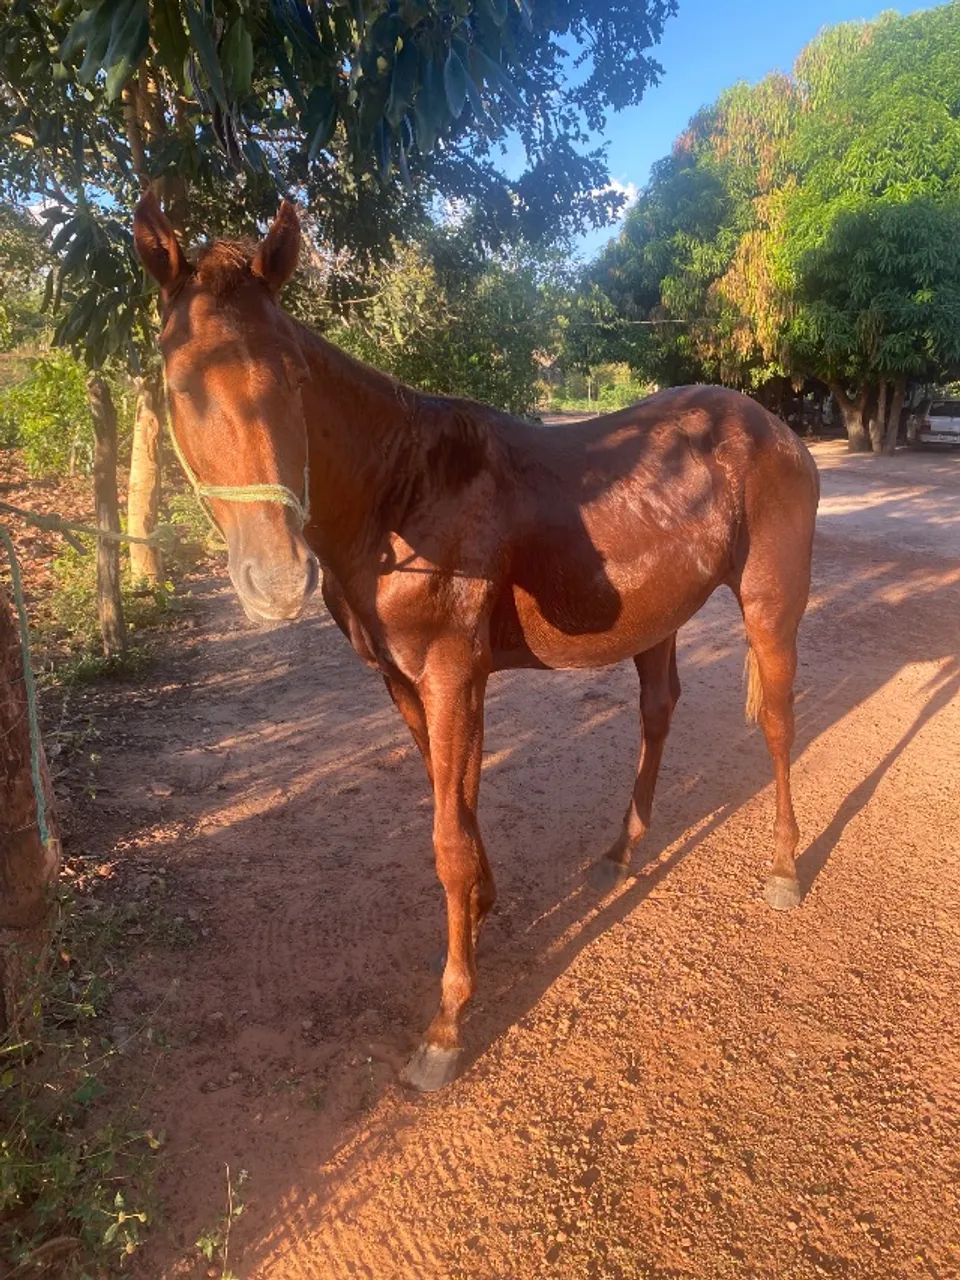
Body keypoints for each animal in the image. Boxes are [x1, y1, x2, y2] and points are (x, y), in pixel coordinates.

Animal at [133, 194, 820, 1092]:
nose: (275, 579)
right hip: (658, 619)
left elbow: (448, 841)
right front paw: (486, 910)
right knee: (658, 712)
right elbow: (454, 801)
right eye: (179, 383)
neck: (402, 490)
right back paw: (620, 852)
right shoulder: (407, 682)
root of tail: (776, 428)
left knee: (776, 722)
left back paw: (783, 869)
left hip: (771, 605)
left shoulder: (452, 675)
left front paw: (448, 1023)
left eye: (294, 380)